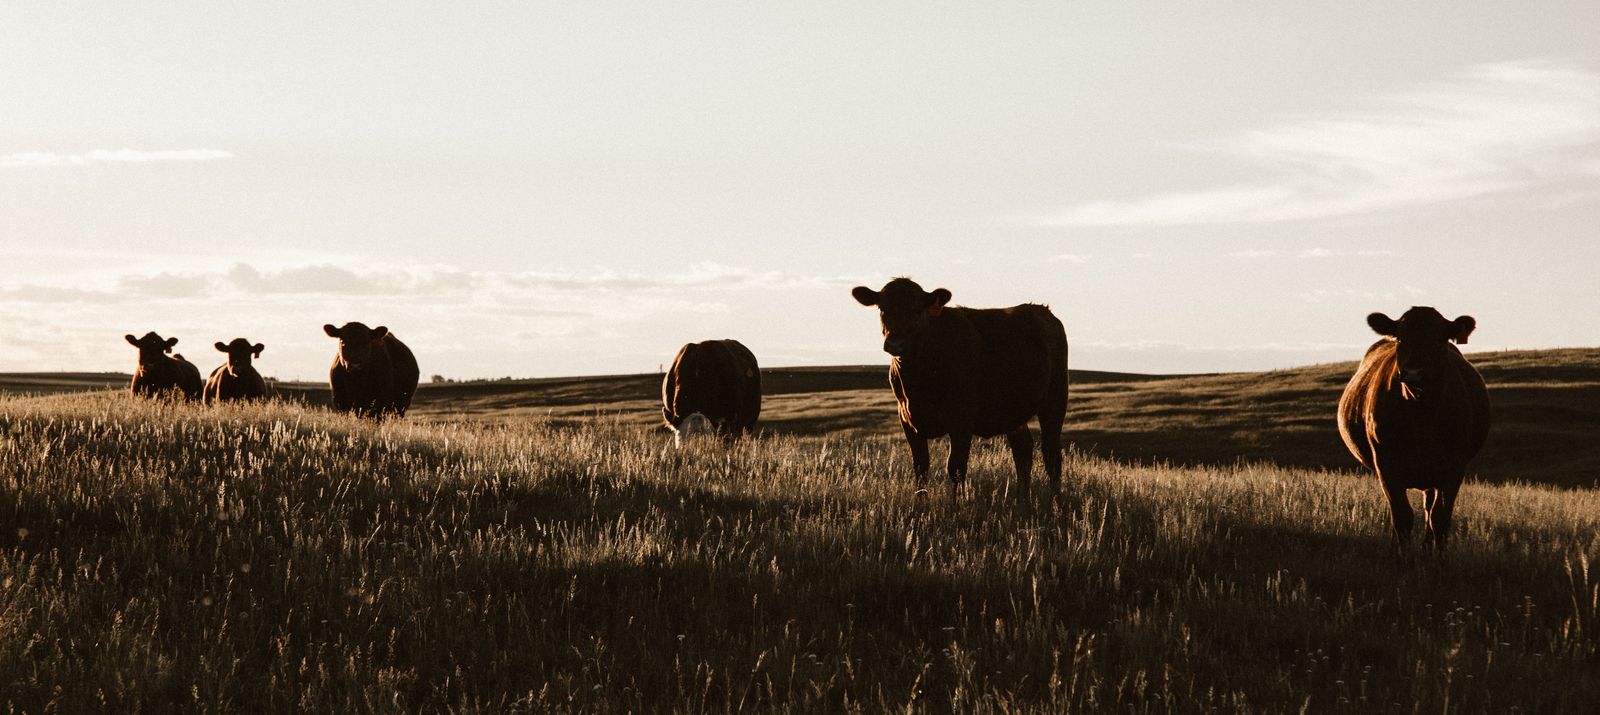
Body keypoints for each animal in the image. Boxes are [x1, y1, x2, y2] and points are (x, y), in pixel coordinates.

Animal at [852, 278, 1069, 497]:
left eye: (916, 310)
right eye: (883, 308)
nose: (895, 344)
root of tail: (1041, 310)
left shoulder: (962, 419)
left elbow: (955, 467)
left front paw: (957, 504)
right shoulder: (907, 420)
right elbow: (921, 468)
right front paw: (920, 504)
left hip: (1055, 399)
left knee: (1051, 453)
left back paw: (1054, 498)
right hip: (1013, 411)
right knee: (1023, 451)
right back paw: (1021, 497)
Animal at [1337, 307, 1491, 552]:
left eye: (1439, 339)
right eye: (1400, 338)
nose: (1413, 373)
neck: (1422, 416)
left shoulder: (1454, 466)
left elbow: (1439, 518)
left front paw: (1439, 557)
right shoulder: (1386, 463)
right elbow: (1402, 517)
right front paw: (1402, 556)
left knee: (1429, 509)